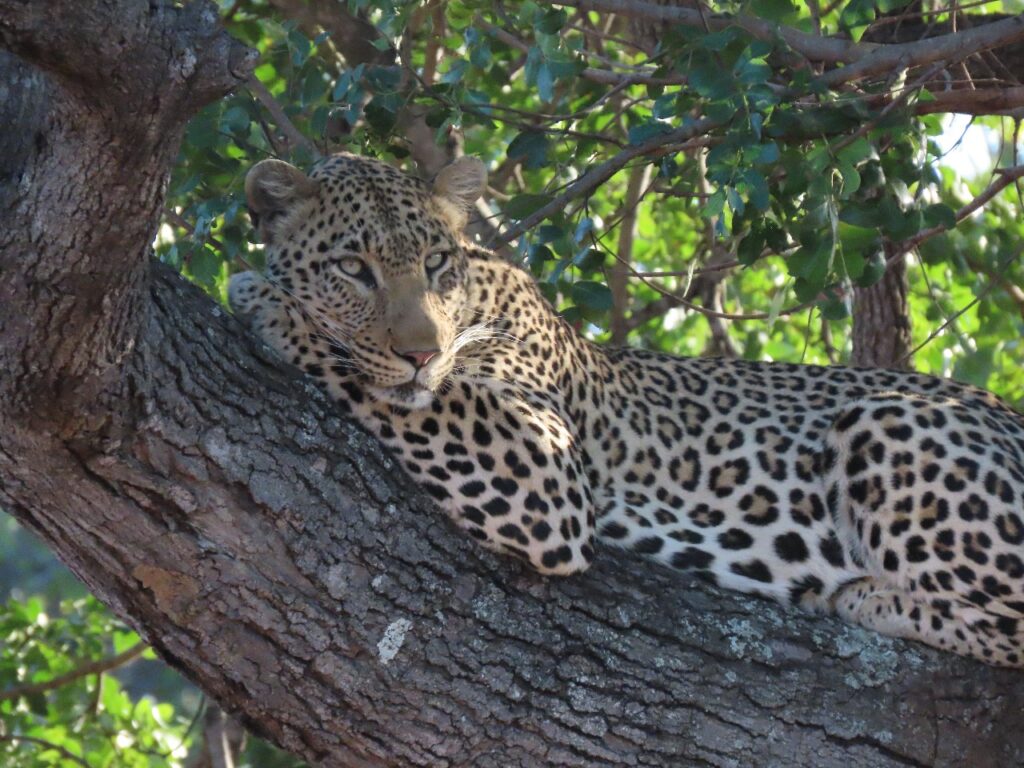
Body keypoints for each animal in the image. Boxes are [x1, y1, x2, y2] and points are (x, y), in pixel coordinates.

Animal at [229, 152, 1024, 667]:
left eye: (435, 265)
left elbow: (394, 387)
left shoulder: (543, 471)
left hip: (881, 419)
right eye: (352, 268)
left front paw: (264, 300)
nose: (422, 354)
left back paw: (868, 598)